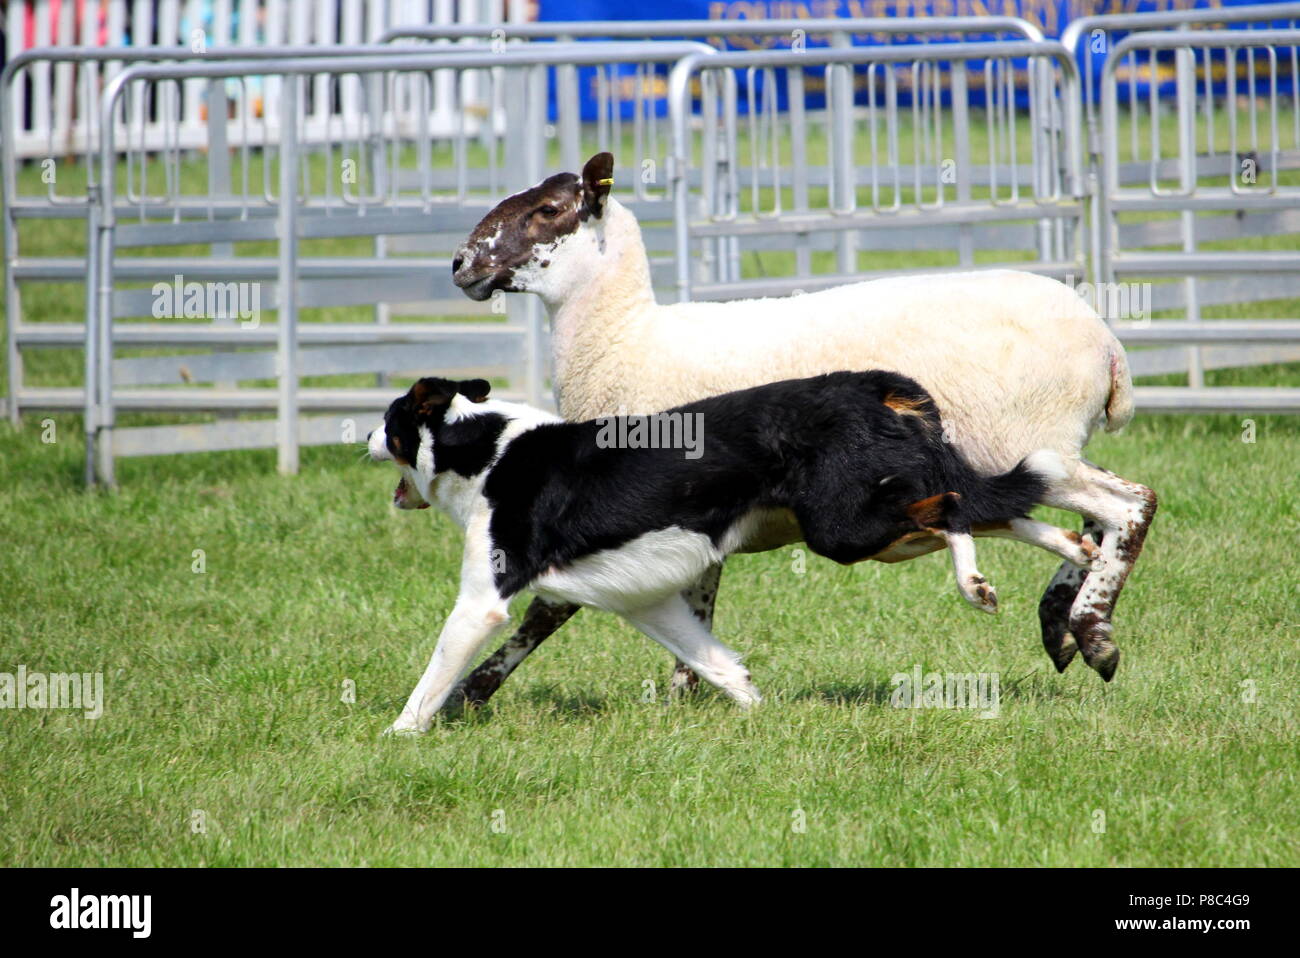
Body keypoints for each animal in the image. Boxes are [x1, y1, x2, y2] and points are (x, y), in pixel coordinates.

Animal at [366, 369, 1097, 727]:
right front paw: (759, 716)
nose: (363, 439)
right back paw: (1073, 551)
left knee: (951, 510)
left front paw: (396, 737)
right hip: (872, 518)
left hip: (843, 529)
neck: (485, 449)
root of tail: (871, 384)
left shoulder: (483, 601)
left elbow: (433, 680)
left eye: (390, 420)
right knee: (994, 504)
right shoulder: (646, 602)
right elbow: (716, 664)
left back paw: (977, 585)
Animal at [444, 149, 1159, 701]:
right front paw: (684, 694)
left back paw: (1092, 632)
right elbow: (694, 603)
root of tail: (1106, 343)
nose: (459, 264)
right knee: (1091, 517)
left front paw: (471, 692)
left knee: (1129, 505)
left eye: (546, 211)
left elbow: (552, 605)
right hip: (1044, 450)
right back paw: (1060, 620)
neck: (627, 335)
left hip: (1031, 441)